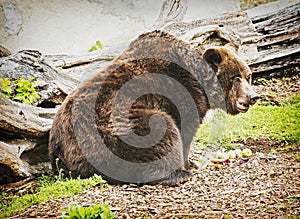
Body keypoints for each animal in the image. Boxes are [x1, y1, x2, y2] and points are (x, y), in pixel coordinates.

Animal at [48, 30, 258, 185]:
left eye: (248, 75)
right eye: (235, 77)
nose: (252, 97)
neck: (198, 78)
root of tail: (58, 147)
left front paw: (192, 162)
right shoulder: (180, 93)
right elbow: (184, 129)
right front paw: (188, 164)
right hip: (111, 128)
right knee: (160, 128)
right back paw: (176, 174)